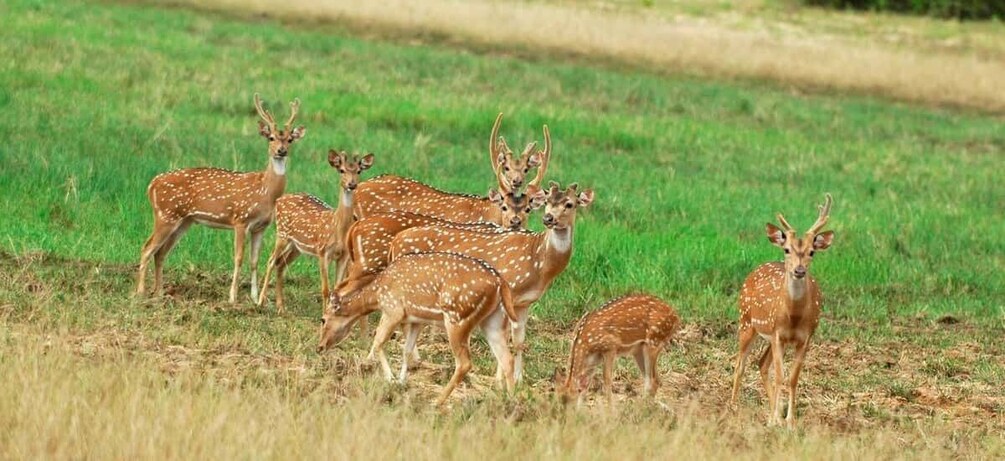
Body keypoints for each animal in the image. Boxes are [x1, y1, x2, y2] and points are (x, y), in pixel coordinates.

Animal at [136, 93, 305, 303]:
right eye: (271, 138)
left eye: (290, 139)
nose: (281, 151)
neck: (265, 192)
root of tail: (151, 185)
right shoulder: (240, 219)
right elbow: (238, 258)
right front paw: (232, 297)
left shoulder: (260, 227)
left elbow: (254, 261)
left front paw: (254, 298)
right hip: (166, 214)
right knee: (147, 248)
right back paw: (140, 292)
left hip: (183, 221)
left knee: (160, 252)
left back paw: (159, 293)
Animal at [255, 150, 373, 313]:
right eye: (341, 170)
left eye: (359, 170)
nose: (352, 184)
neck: (338, 227)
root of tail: (279, 199)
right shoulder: (323, 251)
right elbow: (325, 289)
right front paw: (323, 314)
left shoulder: (343, 256)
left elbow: (336, 288)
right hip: (282, 234)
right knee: (271, 261)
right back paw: (260, 302)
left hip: (296, 246)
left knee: (281, 264)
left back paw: (281, 307)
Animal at [317, 251, 518, 405]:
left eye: (323, 319)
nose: (319, 347)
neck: (376, 296)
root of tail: (500, 282)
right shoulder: (416, 320)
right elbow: (407, 350)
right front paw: (401, 381)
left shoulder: (393, 309)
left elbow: (379, 342)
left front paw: (390, 379)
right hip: (494, 321)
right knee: (507, 359)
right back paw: (510, 402)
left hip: (457, 318)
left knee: (464, 363)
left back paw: (438, 401)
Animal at [387, 181, 590, 381]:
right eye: (547, 201)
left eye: (570, 204)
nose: (548, 218)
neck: (538, 262)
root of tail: (395, 242)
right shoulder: (510, 290)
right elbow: (505, 335)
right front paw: (500, 380)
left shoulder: (525, 302)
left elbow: (519, 341)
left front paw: (519, 380)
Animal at [727, 191, 836, 429]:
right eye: (787, 250)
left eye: (811, 252)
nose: (799, 270)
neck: (793, 317)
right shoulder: (778, 334)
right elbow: (780, 375)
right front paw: (775, 419)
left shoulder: (804, 338)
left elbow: (792, 378)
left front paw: (789, 421)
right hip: (746, 320)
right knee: (740, 363)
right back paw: (734, 406)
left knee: (761, 363)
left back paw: (772, 412)